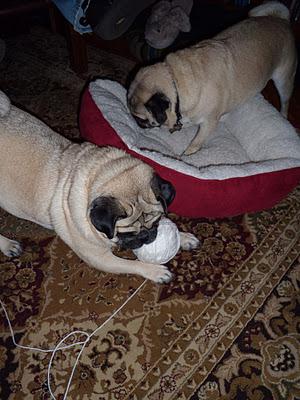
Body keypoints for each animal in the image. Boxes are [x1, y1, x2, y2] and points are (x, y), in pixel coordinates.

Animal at [0, 92, 199, 282]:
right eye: (128, 234)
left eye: (156, 223)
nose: (147, 237)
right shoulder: (100, 258)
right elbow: (132, 264)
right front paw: (155, 271)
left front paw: (183, 237)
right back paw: (8, 245)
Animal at [128, 3, 298, 156]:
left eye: (141, 118)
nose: (138, 124)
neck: (175, 81)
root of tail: (280, 19)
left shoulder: (208, 123)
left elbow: (195, 144)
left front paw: (186, 156)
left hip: (283, 80)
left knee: (285, 102)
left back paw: (283, 115)